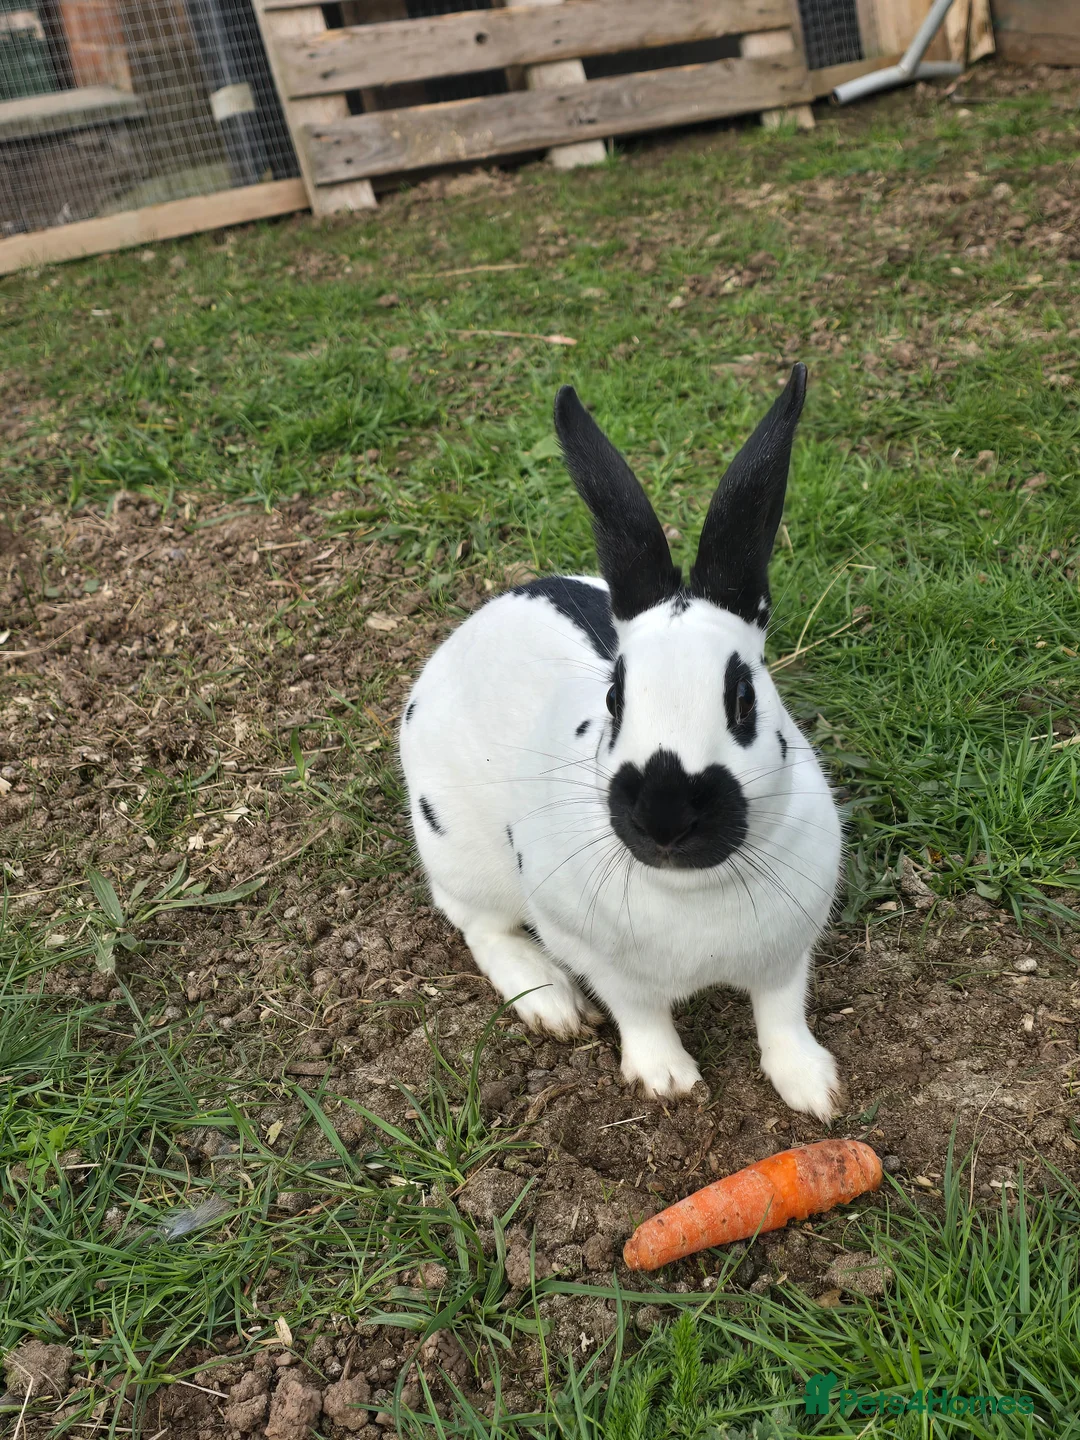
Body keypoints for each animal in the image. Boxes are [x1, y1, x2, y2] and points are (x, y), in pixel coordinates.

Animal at [398, 363, 844, 1119]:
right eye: (614, 698)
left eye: (744, 700)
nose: (665, 818)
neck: (694, 888)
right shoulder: (601, 958)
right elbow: (640, 1014)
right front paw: (667, 1081)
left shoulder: (787, 953)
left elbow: (781, 1014)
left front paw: (816, 1091)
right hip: (460, 851)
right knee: (477, 923)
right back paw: (550, 1002)